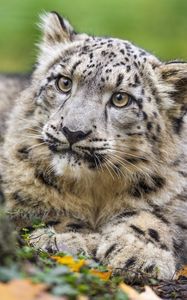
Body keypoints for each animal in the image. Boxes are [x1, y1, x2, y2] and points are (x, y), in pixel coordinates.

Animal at [0, 11, 187, 278]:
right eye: (64, 83)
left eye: (120, 98)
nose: (73, 132)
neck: (94, 190)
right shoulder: (17, 195)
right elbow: (48, 210)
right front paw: (67, 238)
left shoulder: (176, 199)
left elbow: (155, 218)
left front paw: (139, 255)